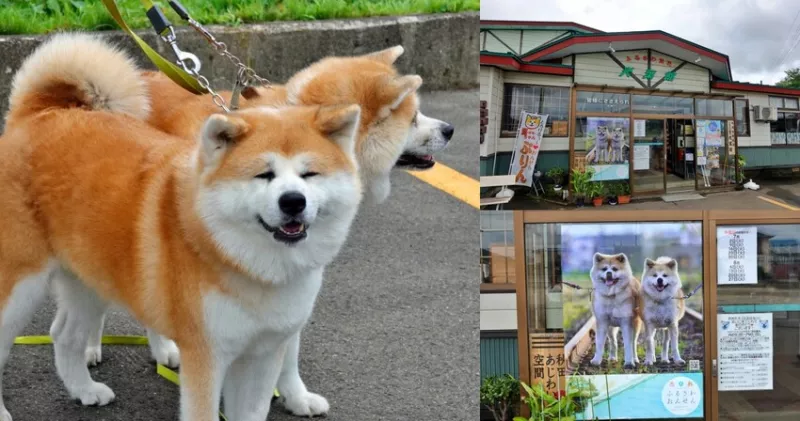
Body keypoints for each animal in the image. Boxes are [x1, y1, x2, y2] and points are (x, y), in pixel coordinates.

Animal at [0, 34, 366, 420]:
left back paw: (84, 389)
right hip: (20, 288)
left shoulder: (263, 354)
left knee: (63, 335)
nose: (293, 201)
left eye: (310, 174)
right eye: (263, 174)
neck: (247, 263)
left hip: (89, 280)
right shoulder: (206, 357)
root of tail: (36, 114)